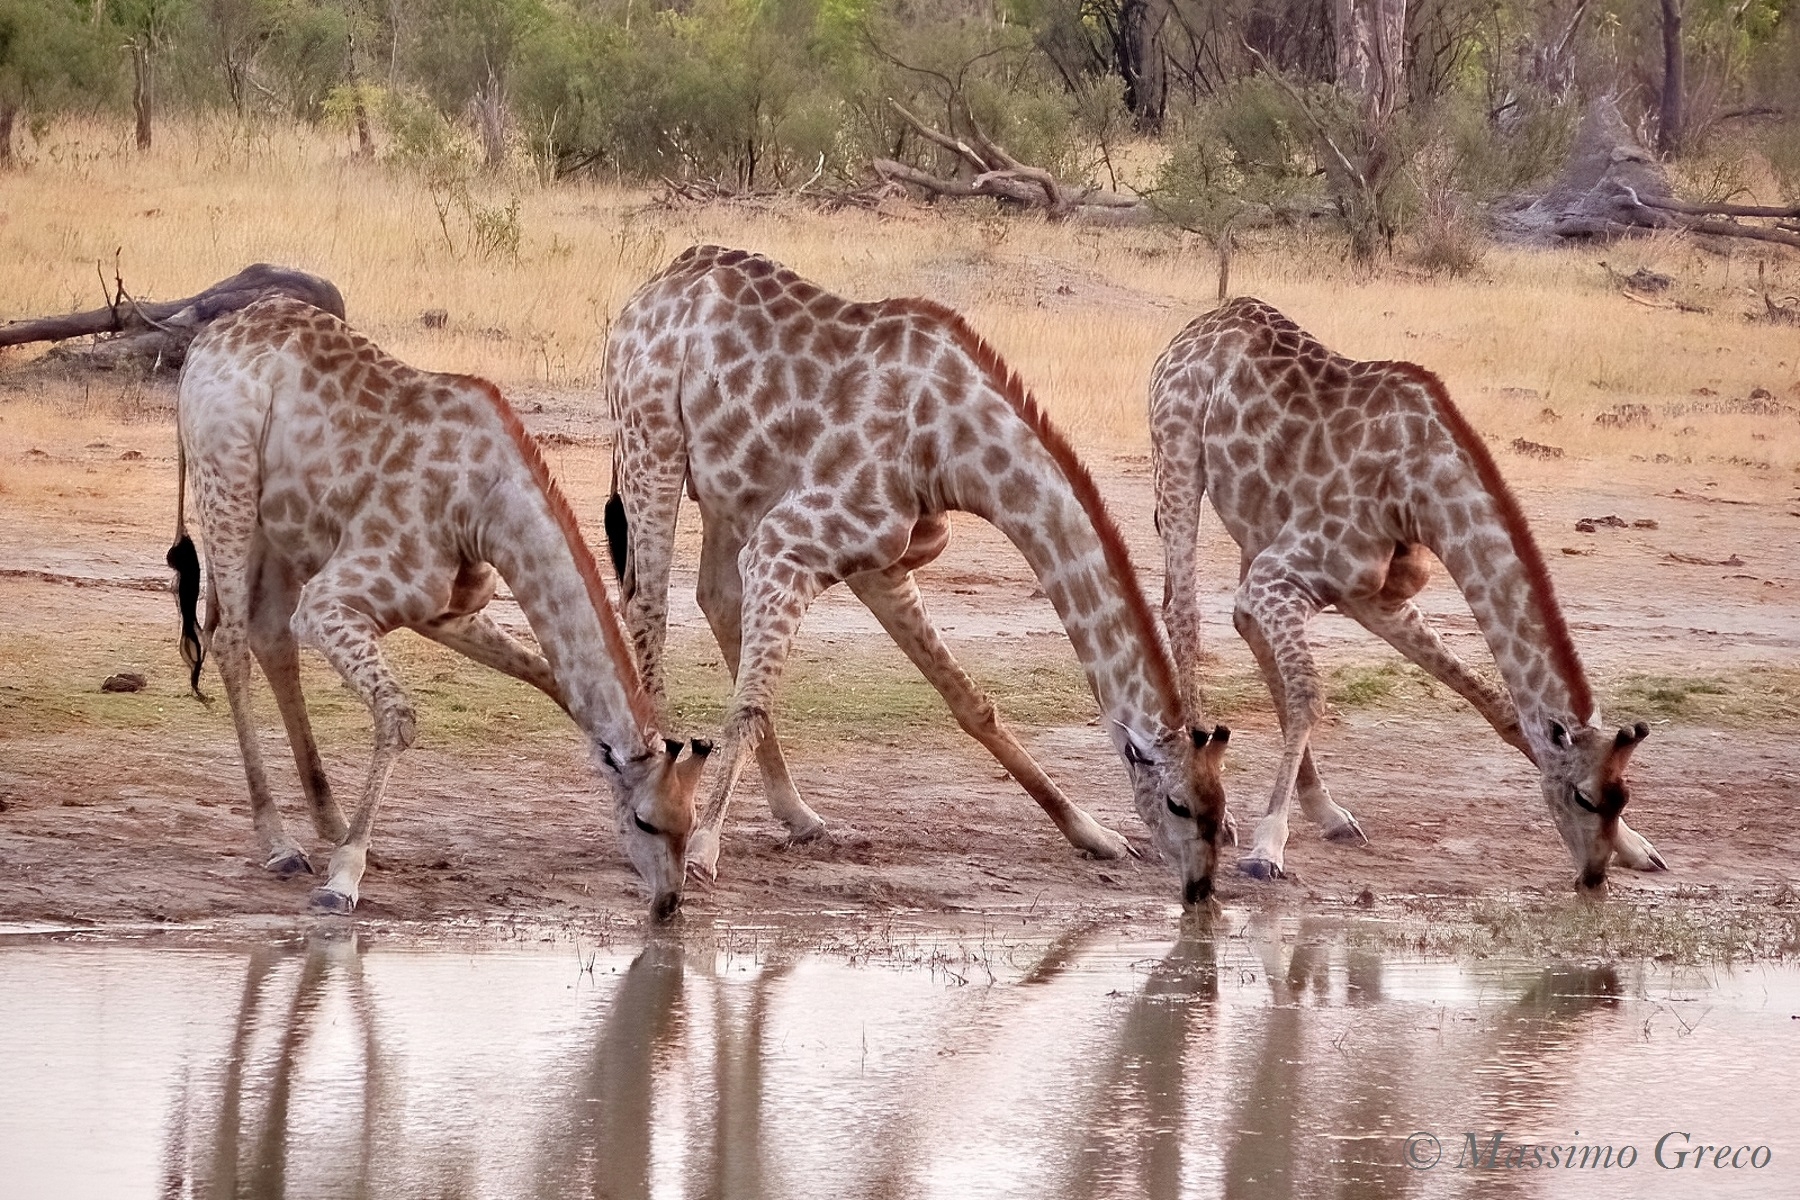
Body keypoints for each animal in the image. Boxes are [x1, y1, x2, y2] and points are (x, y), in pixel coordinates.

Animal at [169, 296, 710, 918]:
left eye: (690, 824)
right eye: (646, 822)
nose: (668, 903)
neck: (485, 507)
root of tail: (202, 345)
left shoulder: (447, 613)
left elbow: (549, 676)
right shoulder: (331, 603)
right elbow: (399, 716)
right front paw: (342, 878)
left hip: (275, 528)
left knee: (269, 637)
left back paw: (327, 820)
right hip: (226, 485)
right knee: (232, 640)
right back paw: (281, 843)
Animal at [604, 245, 1230, 904]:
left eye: (1223, 814)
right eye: (1180, 804)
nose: (1200, 889)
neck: (952, 448)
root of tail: (653, 288)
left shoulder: (878, 563)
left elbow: (970, 701)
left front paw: (1093, 833)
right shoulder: (788, 545)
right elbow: (749, 705)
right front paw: (702, 848)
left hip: (729, 489)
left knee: (715, 598)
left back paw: (799, 816)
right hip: (652, 440)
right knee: (648, 604)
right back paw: (668, 801)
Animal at [1149, 297, 1662, 891]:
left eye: (1621, 798)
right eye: (1581, 798)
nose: (1593, 878)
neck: (1420, 492)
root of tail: (1203, 322)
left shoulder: (1376, 599)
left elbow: (1499, 706)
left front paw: (1637, 846)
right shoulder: (1280, 576)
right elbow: (1310, 695)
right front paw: (1267, 846)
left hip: (1255, 522)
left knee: (1242, 623)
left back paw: (1329, 812)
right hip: (1178, 453)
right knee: (1182, 612)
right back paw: (1226, 810)